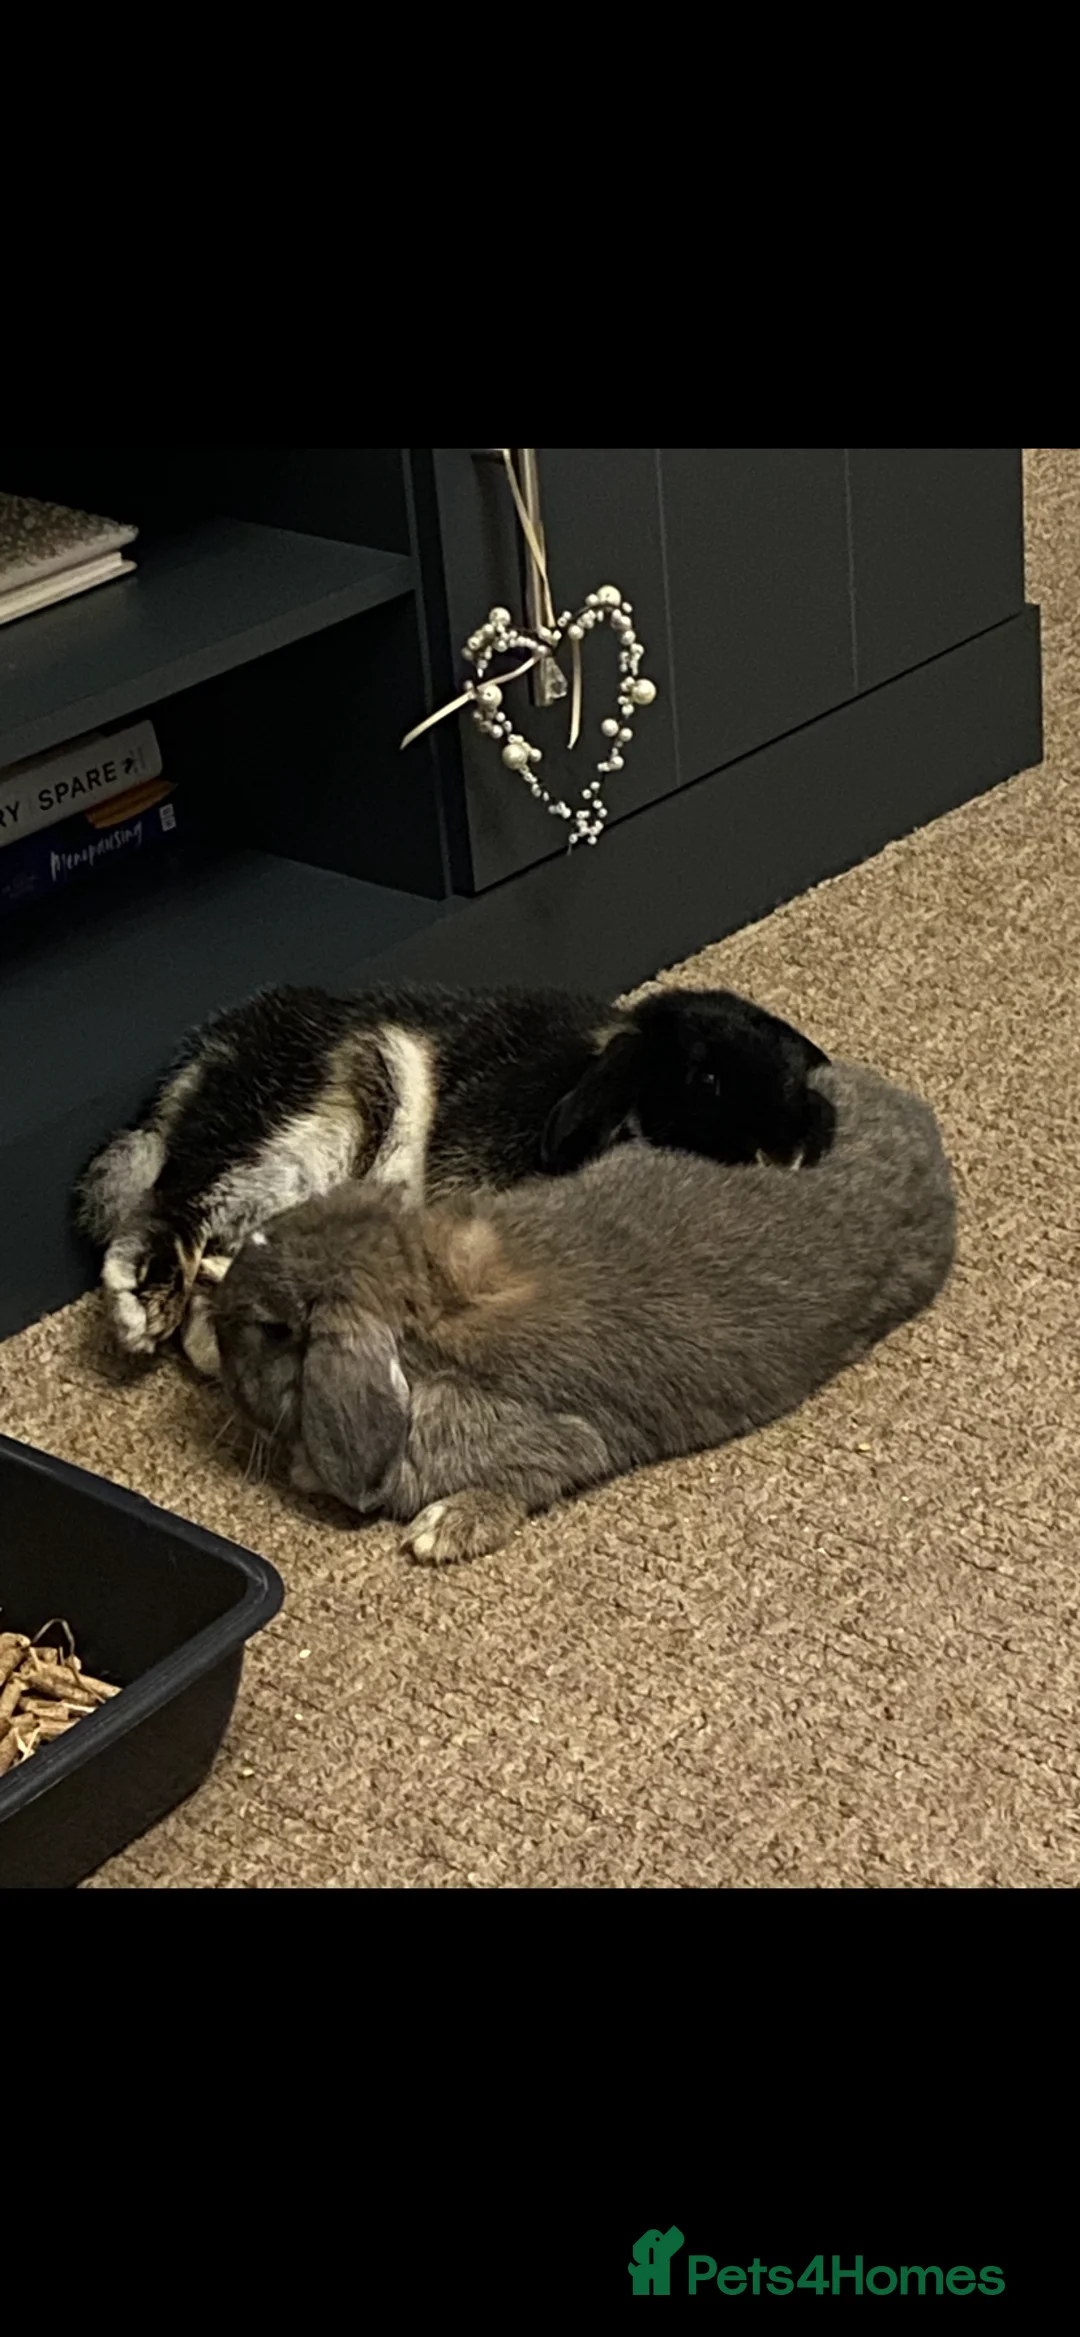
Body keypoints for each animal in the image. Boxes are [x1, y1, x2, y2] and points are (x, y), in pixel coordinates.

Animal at [75, 978, 835, 1378]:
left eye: (796, 1081)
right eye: (704, 1080)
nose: (787, 1152)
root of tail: (209, 1055)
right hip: (320, 1121)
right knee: (178, 1204)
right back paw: (145, 1307)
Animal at [211, 1059, 955, 1566]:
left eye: (275, 1330)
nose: (215, 1324)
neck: (428, 1294)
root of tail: (926, 1128)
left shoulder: (556, 1436)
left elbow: (528, 1475)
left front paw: (442, 1529)